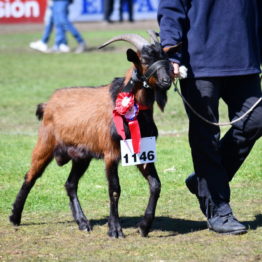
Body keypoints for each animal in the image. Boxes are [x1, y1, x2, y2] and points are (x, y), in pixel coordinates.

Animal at [9, 31, 179, 237]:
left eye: (166, 58)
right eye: (145, 60)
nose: (166, 81)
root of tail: (47, 104)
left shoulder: (142, 152)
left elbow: (156, 185)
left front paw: (144, 226)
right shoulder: (111, 153)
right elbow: (114, 189)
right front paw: (115, 230)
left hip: (81, 156)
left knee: (70, 184)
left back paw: (82, 222)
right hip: (45, 144)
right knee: (30, 177)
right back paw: (15, 217)